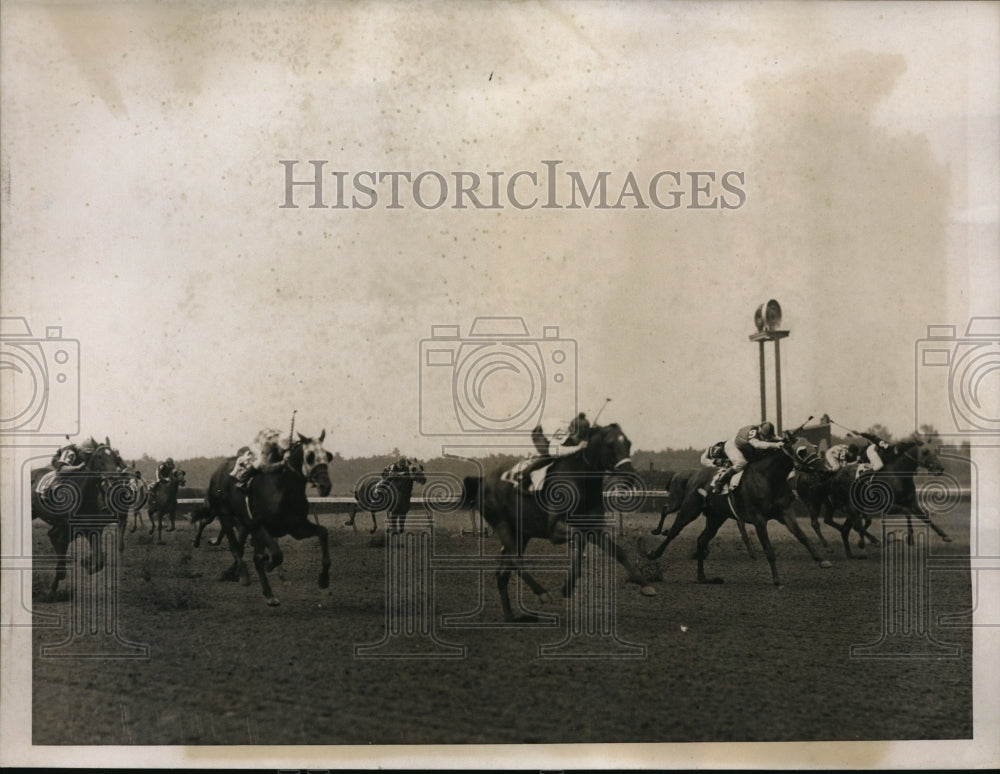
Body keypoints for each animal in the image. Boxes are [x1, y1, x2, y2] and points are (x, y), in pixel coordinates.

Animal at [29, 440, 129, 604]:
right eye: (99, 458)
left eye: (115, 458)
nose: (113, 480)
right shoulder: (66, 530)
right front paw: (51, 591)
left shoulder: (93, 530)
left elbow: (100, 560)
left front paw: (86, 563)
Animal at [191, 430, 336, 608]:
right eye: (310, 456)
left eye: (327, 456)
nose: (325, 486)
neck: (282, 491)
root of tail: (218, 471)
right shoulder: (258, 526)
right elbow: (276, 554)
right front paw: (268, 565)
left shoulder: (296, 527)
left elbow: (323, 532)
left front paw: (323, 579)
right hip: (224, 515)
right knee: (235, 546)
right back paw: (244, 576)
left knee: (244, 549)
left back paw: (267, 592)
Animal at [466, 424, 656, 624]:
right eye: (610, 445)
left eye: (628, 443)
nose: (630, 476)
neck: (581, 480)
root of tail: (483, 481)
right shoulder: (555, 531)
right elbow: (580, 541)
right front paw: (568, 584)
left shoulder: (594, 529)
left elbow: (618, 552)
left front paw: (644, 585)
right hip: (502, 524)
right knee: (515, 560)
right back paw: (541, 593)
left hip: (521, 533)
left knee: (503, 570)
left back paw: (510, 615)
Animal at [824, 440, 956, 556]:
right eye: (925, 452)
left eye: (934, 451)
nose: (940, 469)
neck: (898, 475)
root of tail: (834, 476)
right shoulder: (887, 505)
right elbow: (906, 512)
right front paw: (910, 538)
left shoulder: (912, 502)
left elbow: (925, 517)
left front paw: (945, 535)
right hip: (850, 505)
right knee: (856, 525)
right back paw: (875, 541)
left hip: (854, 507)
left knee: (847, 529)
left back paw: (852, 553)